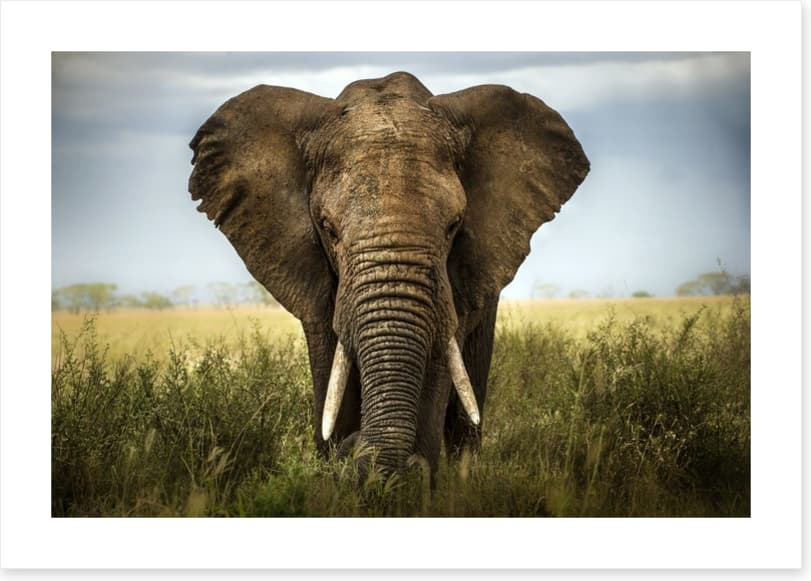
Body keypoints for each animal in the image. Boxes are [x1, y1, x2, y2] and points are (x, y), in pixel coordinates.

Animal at [188, 71, 589, 480]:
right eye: (328, 228)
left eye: (453, 226)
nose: (355, 448)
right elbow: (331, 372)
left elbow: (436, 368)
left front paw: (409, 479)